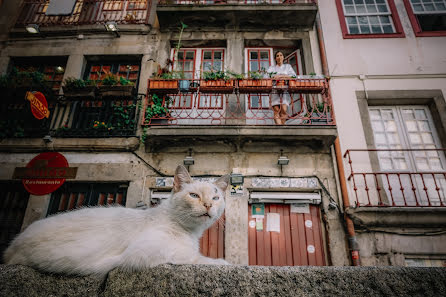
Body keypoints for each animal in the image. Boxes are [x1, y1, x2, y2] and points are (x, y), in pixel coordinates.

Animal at [1, 164, 228, 276]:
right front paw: (222, 262)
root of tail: (14, 244)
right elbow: (198, 258)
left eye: (216, 198)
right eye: (194, 196)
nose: (208, 205)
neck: (190, 232)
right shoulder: (144, 252)